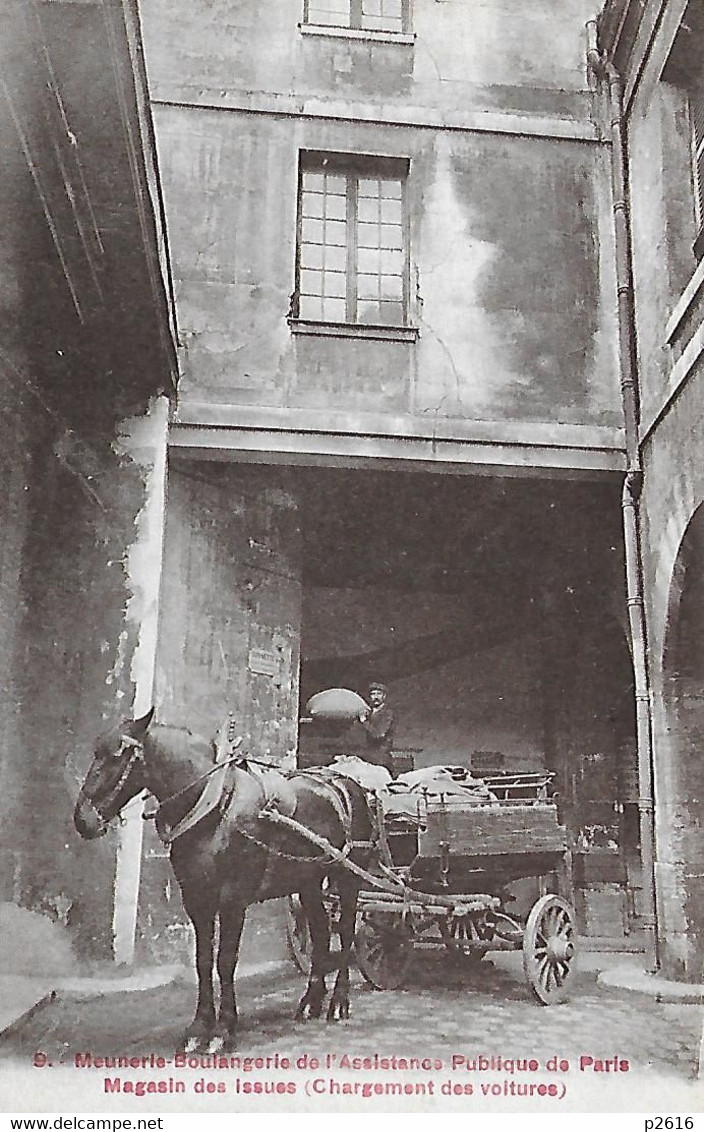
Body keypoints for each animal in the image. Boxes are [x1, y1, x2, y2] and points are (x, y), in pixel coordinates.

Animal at [73, 706, 375, 1050]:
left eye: (117, 756)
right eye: (95, 753)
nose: (82, 819)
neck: (213, 803)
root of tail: (346, 782)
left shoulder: (233, 899)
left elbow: (226, 960)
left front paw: (223, 1029)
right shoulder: (195, 899)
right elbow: (203, 961)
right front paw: (198, 1028)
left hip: (348, 878)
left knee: (347, 933)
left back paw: (338, 1001)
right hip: (309, 880)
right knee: (322, 932)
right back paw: (311, 1001)